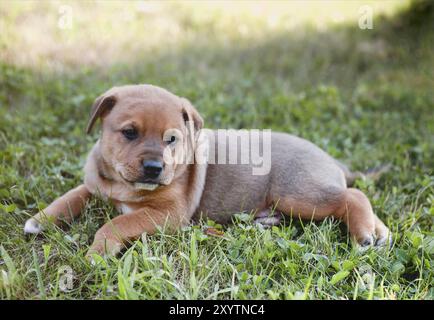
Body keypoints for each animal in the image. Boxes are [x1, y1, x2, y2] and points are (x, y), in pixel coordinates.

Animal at [22, 83, 390, 258]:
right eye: (129, 133)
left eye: (172, 139)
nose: (154, 168)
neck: (122, 185)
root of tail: (332, 160)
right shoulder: (96, 185)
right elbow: (73, 194)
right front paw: (41, 219)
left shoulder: (168, 214)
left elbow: (116, 222)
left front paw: (99, 251)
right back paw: (378, 233)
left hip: (299, 193)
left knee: (353, 196)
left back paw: (362, 234)